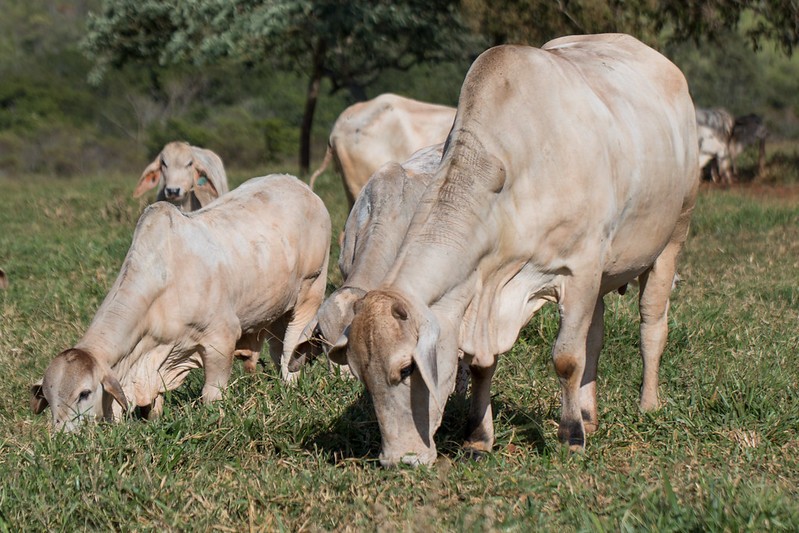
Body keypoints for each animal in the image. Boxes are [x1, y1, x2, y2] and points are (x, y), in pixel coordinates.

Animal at [31, 176, 332, 432]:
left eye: (84, 393)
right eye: (49, 396)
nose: (63, 436)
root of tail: (305, 189)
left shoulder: (221, 340)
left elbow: (212, 395)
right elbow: (154, 405)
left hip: (311, 291)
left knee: (291, 348)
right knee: (278, 345)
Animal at [334, 34, 704, 466]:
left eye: (407, 368)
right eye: (361, 374)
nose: (399, 460)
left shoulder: (579, 269)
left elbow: (566, 358)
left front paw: (570, 436)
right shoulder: (488, 292)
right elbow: (484, 364)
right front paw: (478, 438)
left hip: (672, 237)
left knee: (651, 325)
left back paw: (646, 405)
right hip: (601, 277)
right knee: (595, 337)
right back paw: (589, 414)